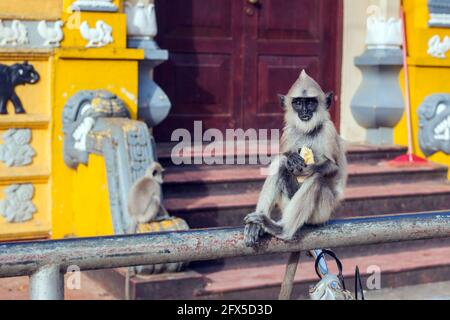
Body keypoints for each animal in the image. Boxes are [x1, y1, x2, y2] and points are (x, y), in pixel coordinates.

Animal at [244, 69, 346, 248]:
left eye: (310, 103)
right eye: (298, 103)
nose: (304, 112)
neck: (308, 131)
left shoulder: (329, 130)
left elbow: (334, 168)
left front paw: (305, 169)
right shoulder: (289, 131)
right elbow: (282, 156)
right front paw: (291, 157)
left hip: (322, 213)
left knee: (316, 179)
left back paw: (282, 230)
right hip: (286, 203)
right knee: (279, 165)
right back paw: (258, 225)